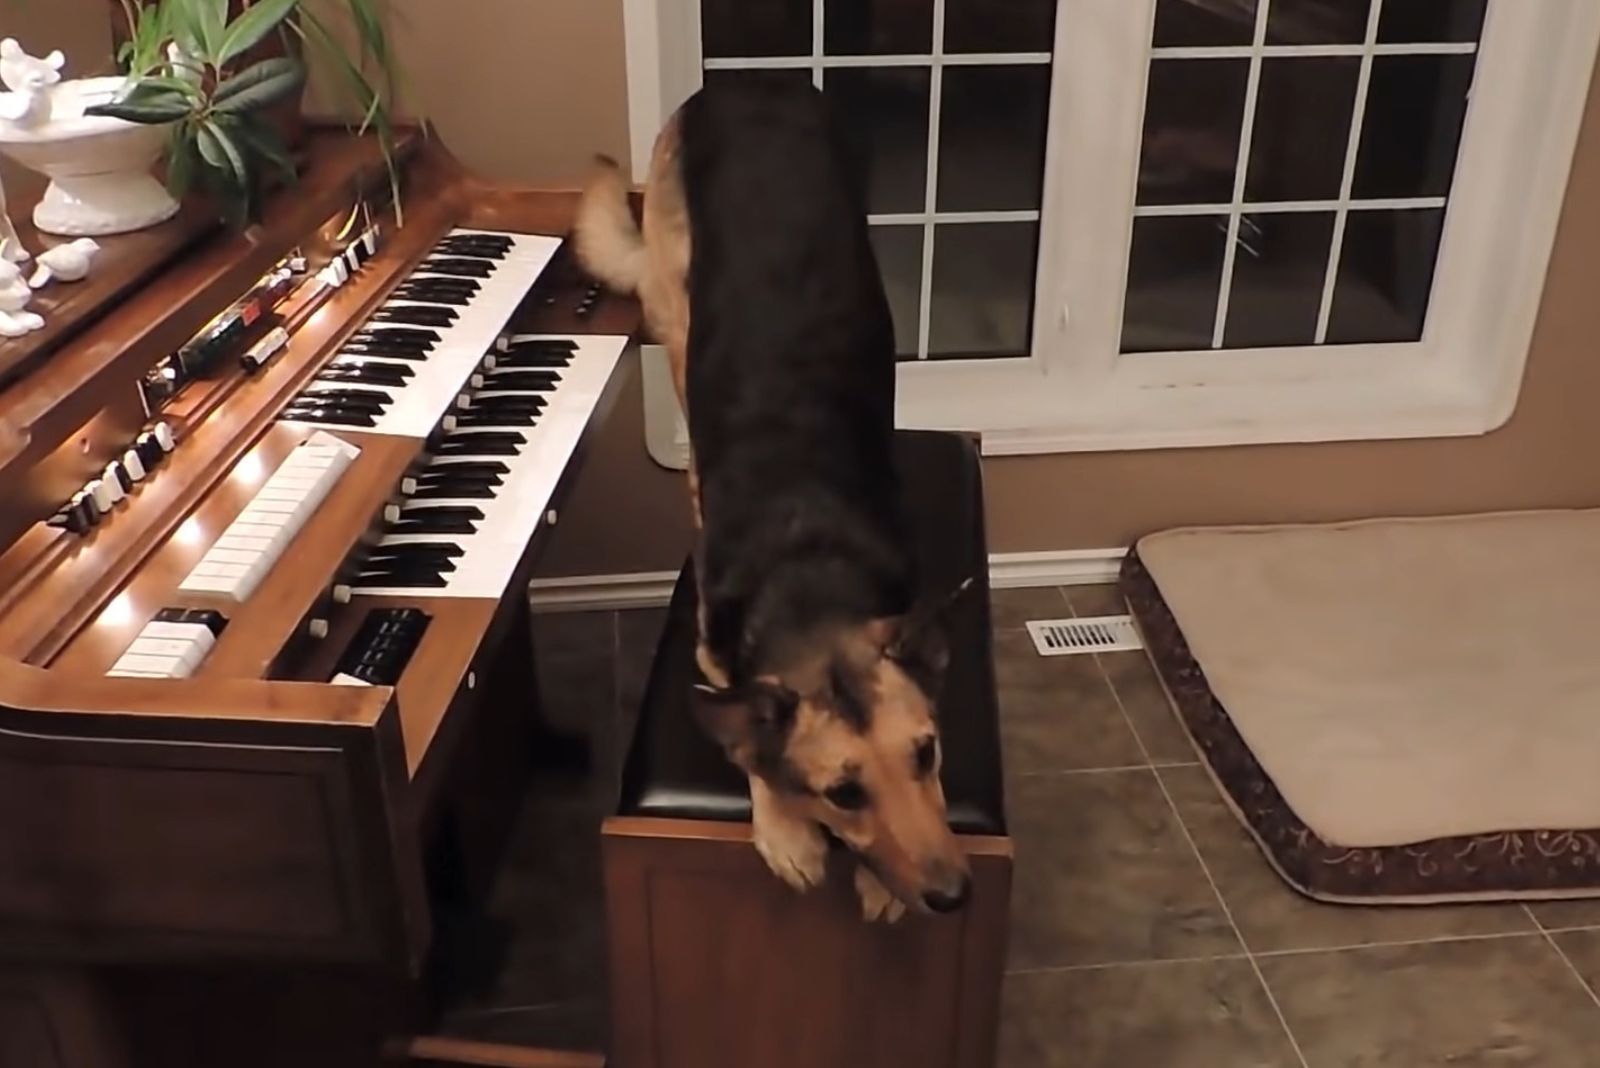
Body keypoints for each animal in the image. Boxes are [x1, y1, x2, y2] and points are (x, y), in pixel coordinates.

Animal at [579, 81, 966, 920]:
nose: (956, 898)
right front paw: (787, 829)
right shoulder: (718, 661)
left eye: (927, 754)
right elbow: (750, 743)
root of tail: (751, 85)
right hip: (675, 305)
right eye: (843, 794)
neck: (809, 578)